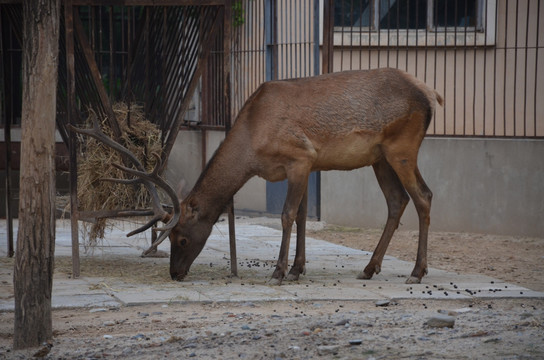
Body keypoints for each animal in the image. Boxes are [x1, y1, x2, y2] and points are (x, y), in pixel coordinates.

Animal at [72, 68, 442, 284]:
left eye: (182, 238)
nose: (175, 273)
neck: (252, 144)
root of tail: (431, 94)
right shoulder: (306, 166)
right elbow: (303, 217)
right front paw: (297, 269)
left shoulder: (300, 157)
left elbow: (287, 215)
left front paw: (279, 271)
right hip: (380, 157)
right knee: (397, 201)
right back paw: (369, 268)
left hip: (402, 147)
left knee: (424, 196)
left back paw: (416, 272)